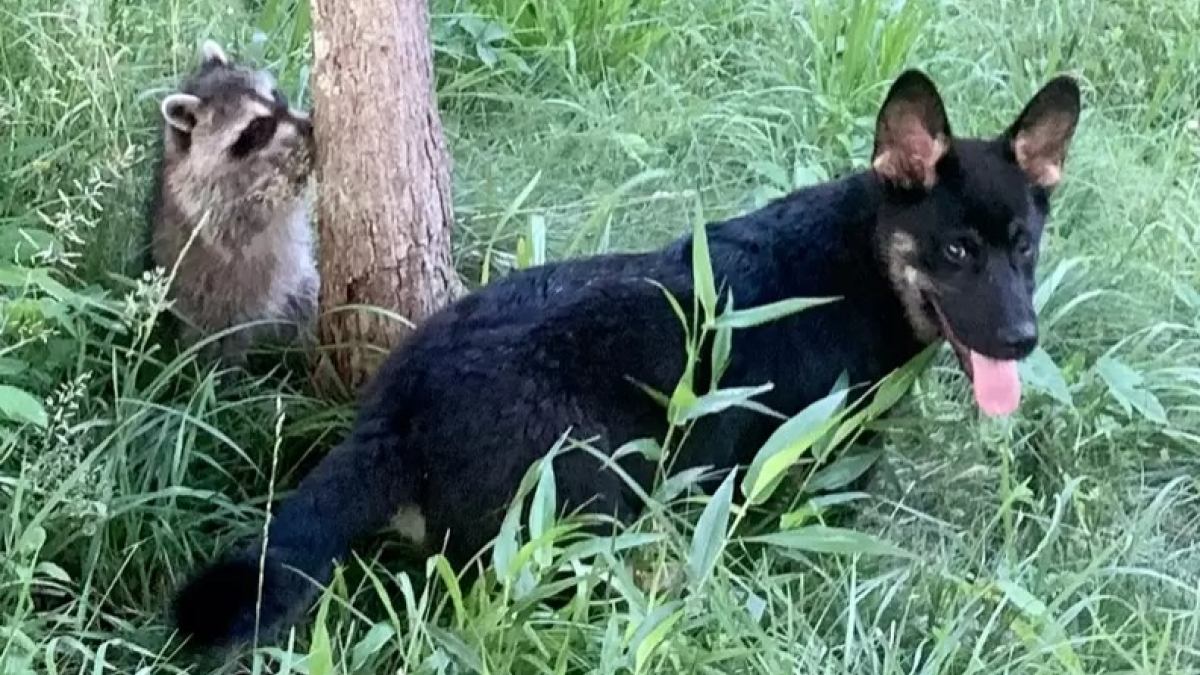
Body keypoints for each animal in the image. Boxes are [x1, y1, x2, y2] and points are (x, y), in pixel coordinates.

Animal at [146, 39, 319, 365]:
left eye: (277, 96)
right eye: (259, 127)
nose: (308, 128)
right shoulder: (204, 199)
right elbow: (246, 219)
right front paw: (296, 169)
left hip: (297, 289)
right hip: (212, 315)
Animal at [174, 66, 1084, 648]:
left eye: (1025, 248)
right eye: (957, 251)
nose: (1021, 339)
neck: (860, 261)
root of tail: (396, 412)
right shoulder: (792, 472)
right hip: (587, 498)